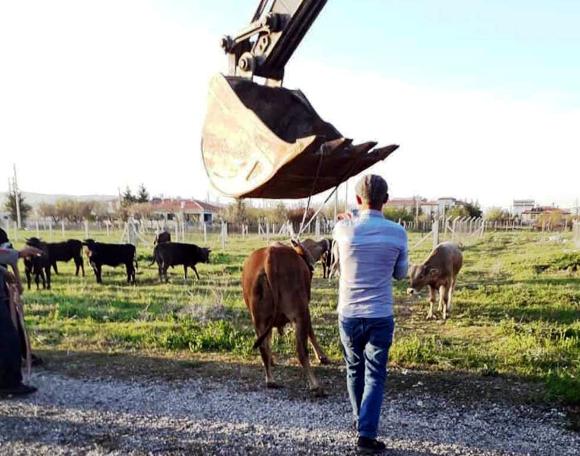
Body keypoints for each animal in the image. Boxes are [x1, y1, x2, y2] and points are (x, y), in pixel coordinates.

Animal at [241, 240, 330, 394]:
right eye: (314, 243)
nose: (326, 241)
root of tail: (269, 257)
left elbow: (268, 340)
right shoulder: (305, 311)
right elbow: (311, 333)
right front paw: (322, 356)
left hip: (258, 319)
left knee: (263, 347)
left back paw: (270, 379)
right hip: (299, 314)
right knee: (301, 352)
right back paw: (314, 384)